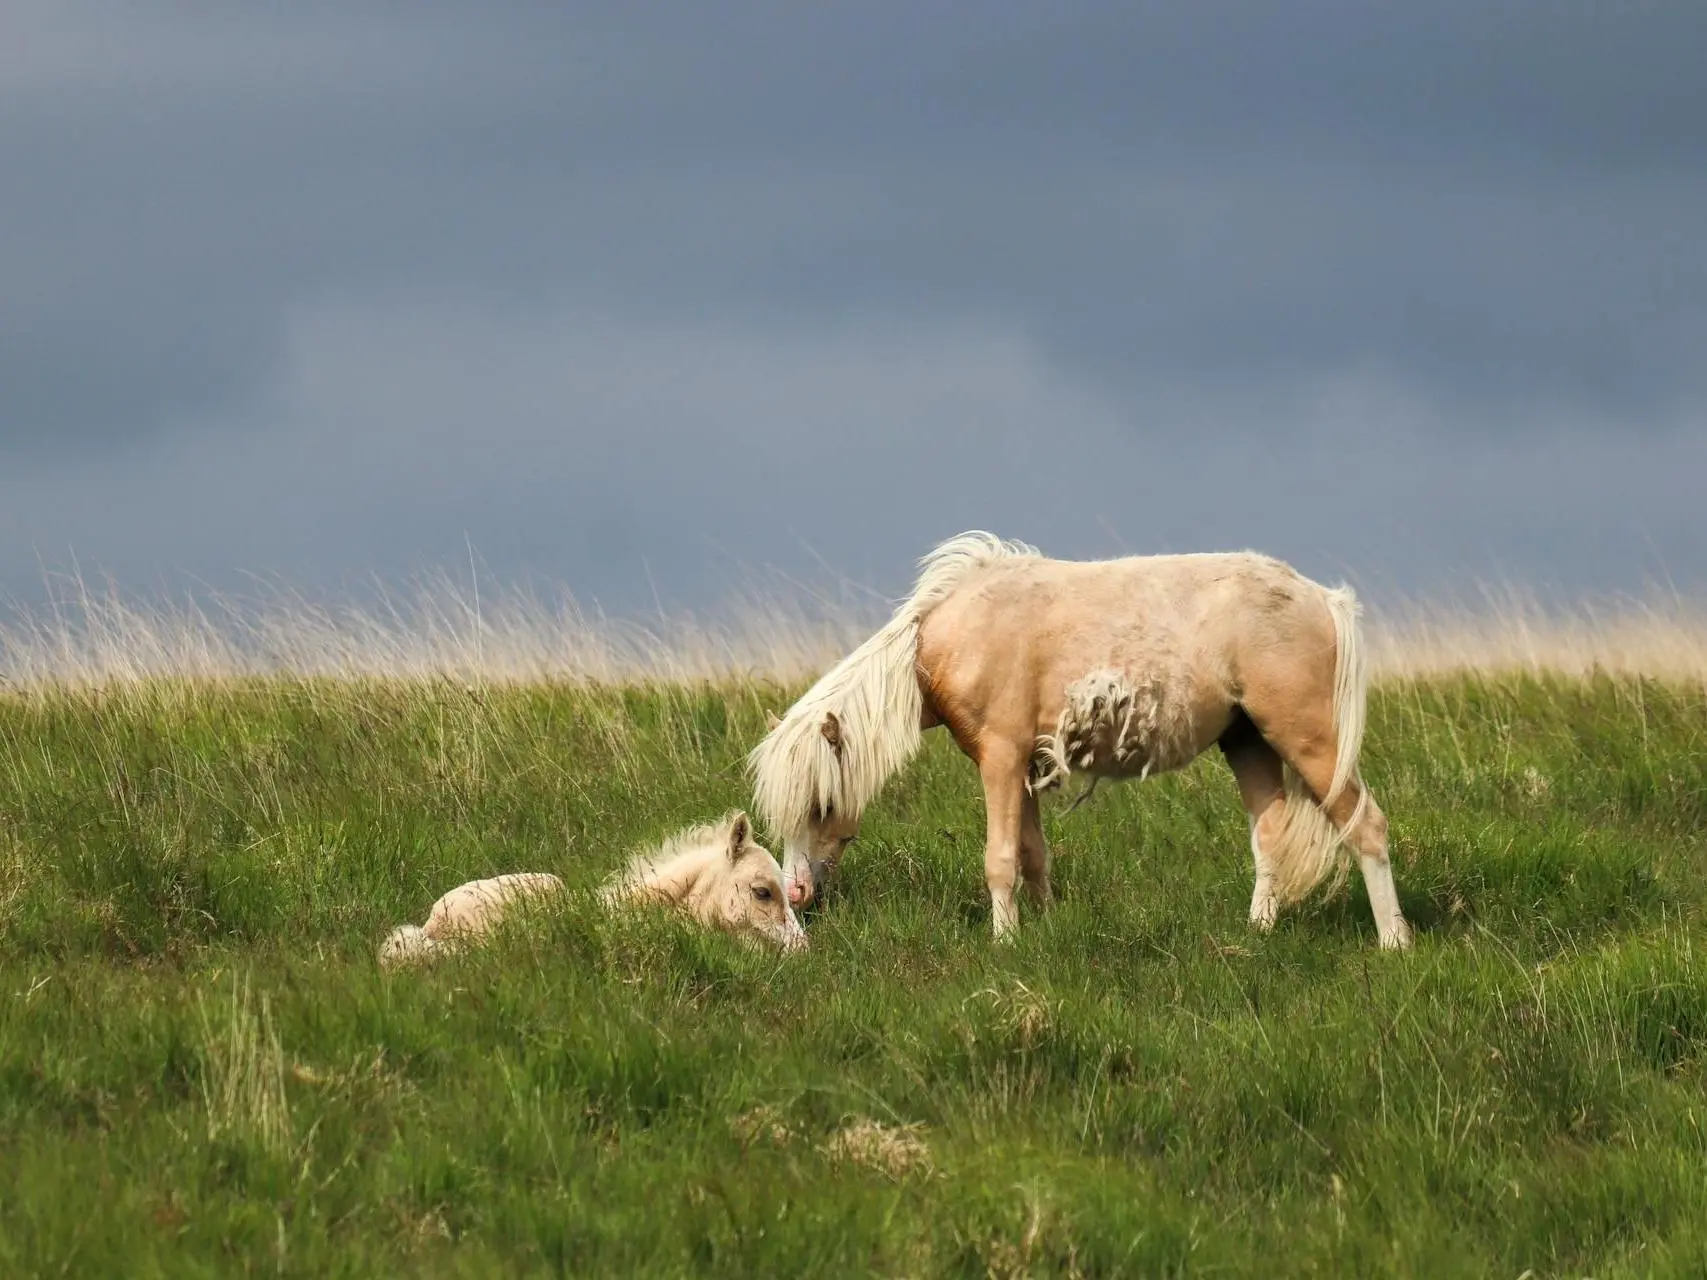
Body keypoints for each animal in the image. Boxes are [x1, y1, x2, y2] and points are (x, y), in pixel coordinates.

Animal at [747, 532, 1413, 955]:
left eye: (821, 805)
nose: (797, 891)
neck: (952, 634)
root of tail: (1322, 598)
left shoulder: (1000, 759)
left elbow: (1000, 859)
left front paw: (1005, 942)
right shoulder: (1025, 766)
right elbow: (1033, 854)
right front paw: (1043, 926)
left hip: (1309, 740)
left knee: (1366, 827)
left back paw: (1394, 942)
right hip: (1248, 743)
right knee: (1271, 835)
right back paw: (1259, 931)